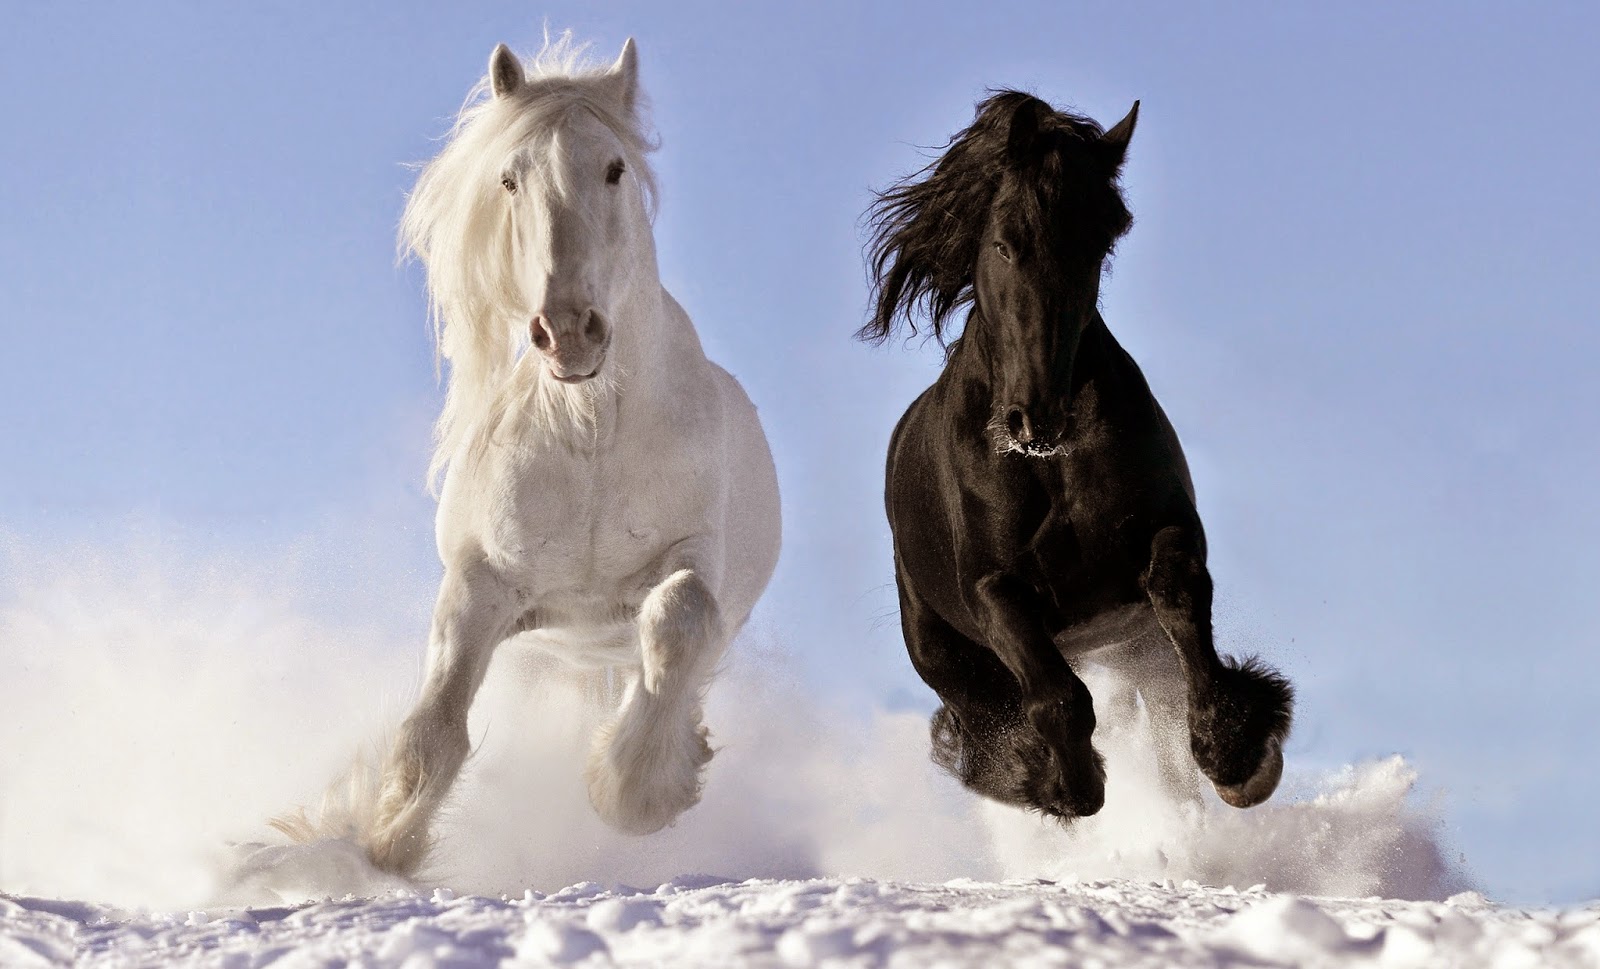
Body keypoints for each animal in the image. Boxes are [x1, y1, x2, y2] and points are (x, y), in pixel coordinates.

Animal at [278, 36, 781, 878]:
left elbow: (678, 620)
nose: (568, 329)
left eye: (613, 167)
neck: (590, 434)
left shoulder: (690, 560)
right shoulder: (480, 583)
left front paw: (636, 790)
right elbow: (432, 727)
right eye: (510, 178)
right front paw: (383, 849)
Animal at [859, 91, 1293, 821]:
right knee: (986, 714)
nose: (1036, 416)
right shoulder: (993, 589)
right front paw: (1062, 782)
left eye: (1097, 244)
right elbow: (1056, 697)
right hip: (943, 649)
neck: (1049, 465)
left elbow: (1179, 595)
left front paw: (1238, 753)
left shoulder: (1167, 529)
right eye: (1004, 242)